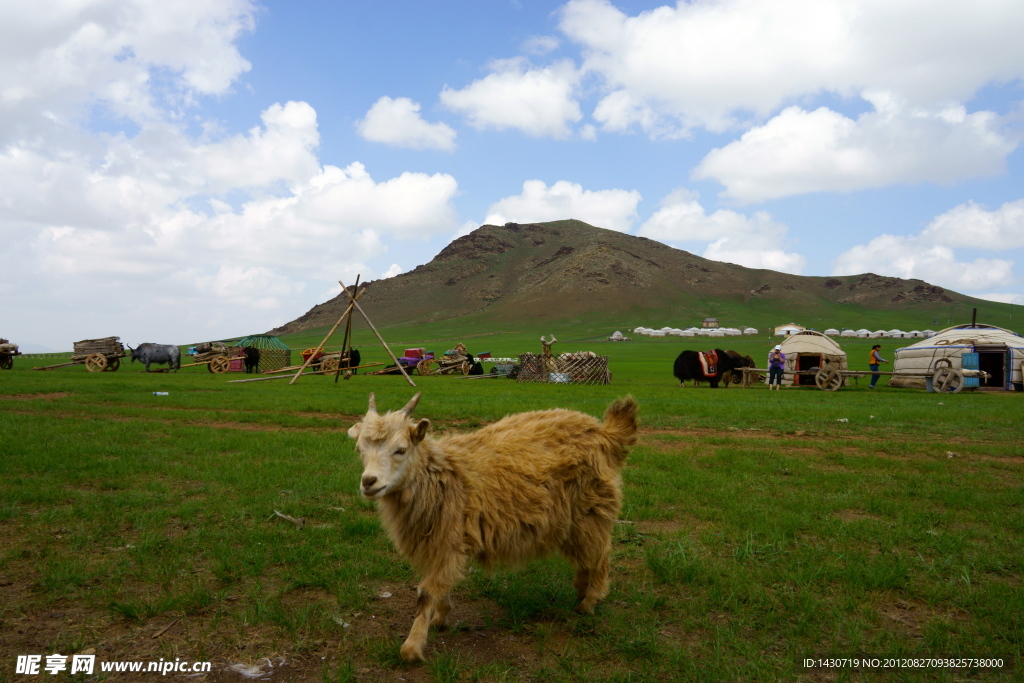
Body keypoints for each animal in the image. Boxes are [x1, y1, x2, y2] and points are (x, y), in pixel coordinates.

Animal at [352, 393, 638, 663]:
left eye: (400, 449)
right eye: (359, 449)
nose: (368, 482)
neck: (442, 475)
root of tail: (604, 432)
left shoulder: (450, 539)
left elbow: (426, 592)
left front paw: (412, 648)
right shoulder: (436, 543)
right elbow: (438, 585)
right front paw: (440, 618)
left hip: (592, 510)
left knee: (600, 555)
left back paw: (589, 603)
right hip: (570, 520)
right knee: (586, 556)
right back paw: (581, 591)